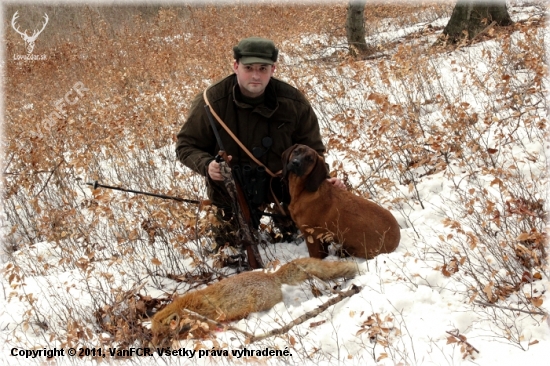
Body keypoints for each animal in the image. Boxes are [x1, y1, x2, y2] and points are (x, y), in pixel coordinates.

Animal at [152, 258, 358, 344]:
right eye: (154, 334)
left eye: (159, 335)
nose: (152, 346)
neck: (188, 308)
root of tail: (272, 276)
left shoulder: (206, 321)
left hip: (261, 305)